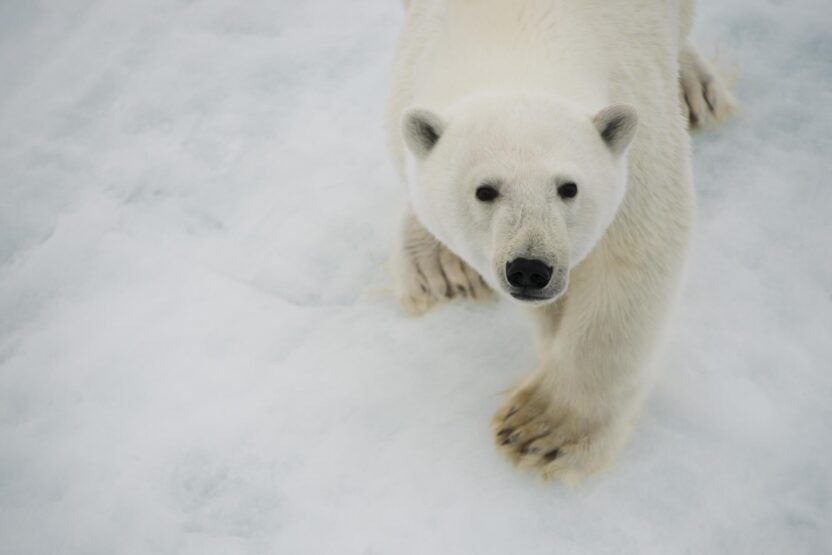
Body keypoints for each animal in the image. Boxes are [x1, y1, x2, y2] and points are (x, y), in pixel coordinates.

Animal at [386, 0, 735, 481]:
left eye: (568, 188)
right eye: (484, 191)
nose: (530, 269)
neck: (514, 26)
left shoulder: (639, 124)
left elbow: (633, 255)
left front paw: (541, 431)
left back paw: (695, 87)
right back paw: (437, 268)